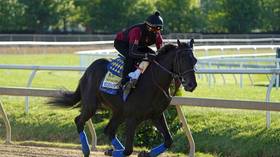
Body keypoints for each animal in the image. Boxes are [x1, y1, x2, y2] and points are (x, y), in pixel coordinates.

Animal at [49, 38, 198, 156]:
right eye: (182, 59)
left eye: (194, 60)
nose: (192, 85)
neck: (154, 82)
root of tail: (88, 70)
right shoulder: (132, 118)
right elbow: (128, 150)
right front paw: (111, 151)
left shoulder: (156, 115)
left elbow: (168, 141)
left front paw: (144, 153)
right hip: (92, 105)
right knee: (79, 121)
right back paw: (86, 150)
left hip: (119, 112)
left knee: (109, 130)